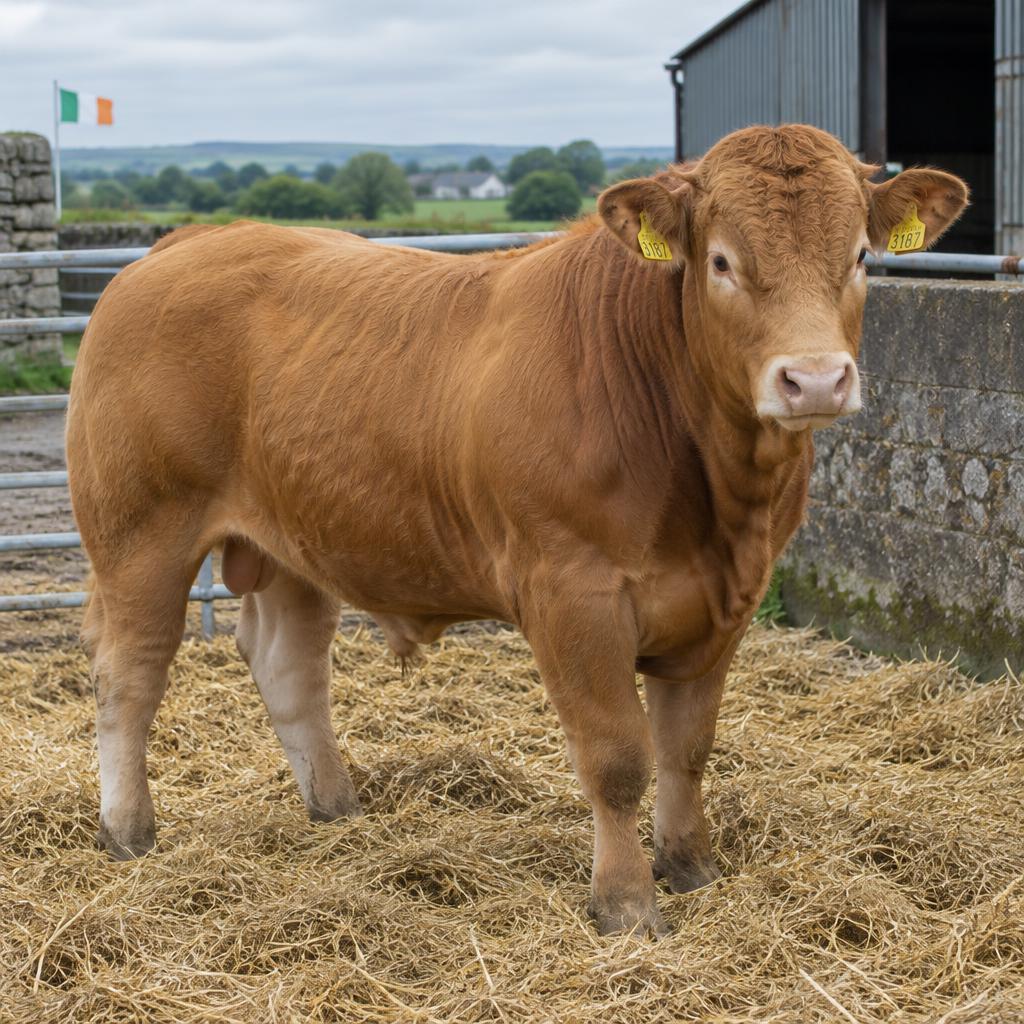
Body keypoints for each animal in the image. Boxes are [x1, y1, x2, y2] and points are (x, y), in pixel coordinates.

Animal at [66, 125, 967, 936]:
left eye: (861, 256)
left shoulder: (723, 602)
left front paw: (692, 869)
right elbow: (618, 758)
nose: (813, 379)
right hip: (140, 535)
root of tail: (184, 243)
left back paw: (337, 806)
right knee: (128, 675)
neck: (716, 497)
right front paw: (627, 905)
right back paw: (128, 831)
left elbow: (687, 747)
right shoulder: (573, 592)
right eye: (721, 262)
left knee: (288, 666)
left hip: (292, 540)